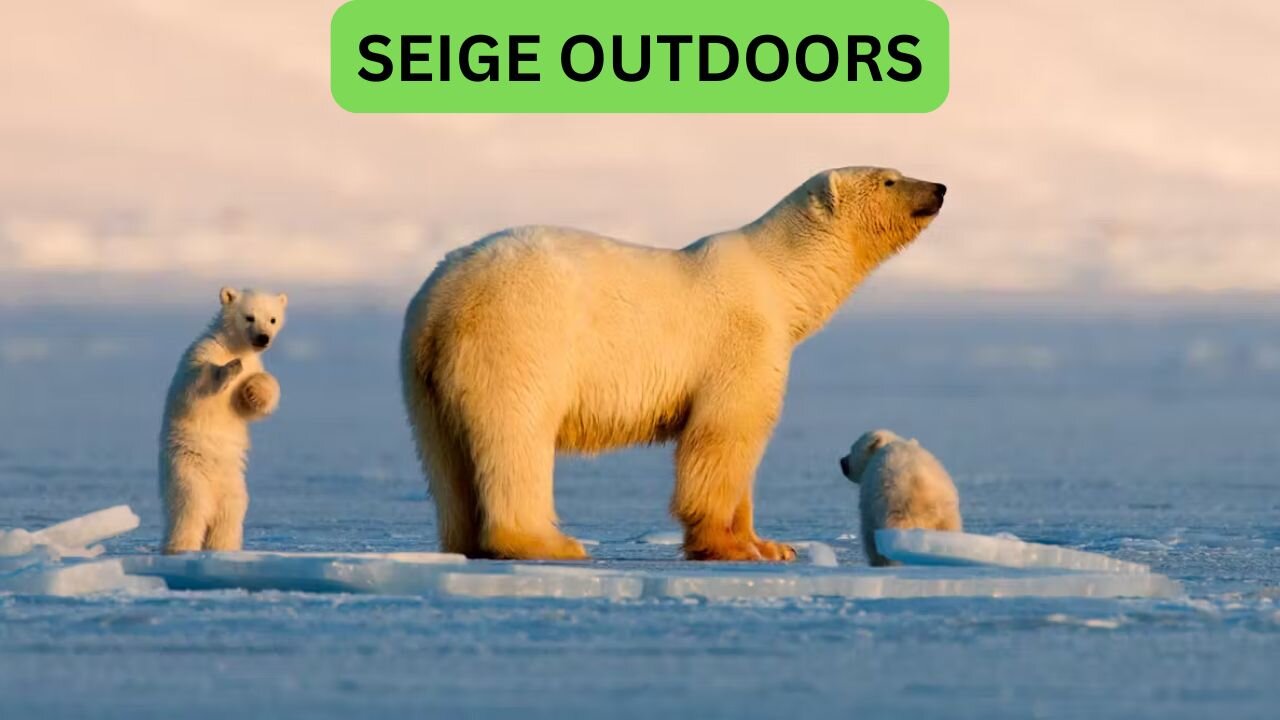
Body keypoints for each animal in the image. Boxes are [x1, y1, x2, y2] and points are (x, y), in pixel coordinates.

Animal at [159, 287, 287, 554]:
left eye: (272, 319)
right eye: (249, 317)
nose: (263, 338)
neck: (233, 346)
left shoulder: (254, 363)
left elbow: (250, 404)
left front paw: (254, 390)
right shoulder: (202, 351)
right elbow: (194, 385)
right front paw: (230, 368)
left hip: (234, 486)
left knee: (228, 517)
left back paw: (224, 548)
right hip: (188, 474)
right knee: (189, 512)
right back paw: (180, 549)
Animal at [401, 167, 945, 562]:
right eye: (889, 179)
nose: (939, 187)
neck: (778, 278)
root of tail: (442, 301)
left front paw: (773, 545)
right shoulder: (741, 341)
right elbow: (724, 435)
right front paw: (730, 547)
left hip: (422, 374)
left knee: (444, 458)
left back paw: (465, 542)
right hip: (519, 339)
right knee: (517, 434)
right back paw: (548, 543)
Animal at [839, 429, 963, 566]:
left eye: (852, 448)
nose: (842, 461)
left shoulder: (869, 502)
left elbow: (869, 534)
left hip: (896, 507)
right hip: (945, 514)